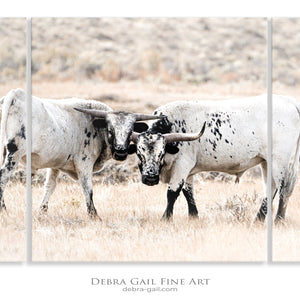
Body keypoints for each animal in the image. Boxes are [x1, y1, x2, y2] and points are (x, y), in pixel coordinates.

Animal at [0, 88, 159, 219]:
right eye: (110, 129)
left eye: (130, 130)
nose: (120, 151)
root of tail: (15, 95)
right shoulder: (84, 164)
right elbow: (87, 188)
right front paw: (94, 215)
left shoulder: (55, 165)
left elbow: (50, 186)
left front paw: (42, 211)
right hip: (14, 153)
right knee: (3, 176)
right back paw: (3, 209)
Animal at [130, 95, 300, 224]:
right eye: (139, 153)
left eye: (161, 153)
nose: (150, 178)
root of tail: (288, 101)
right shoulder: (188, 171)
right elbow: (188, 194)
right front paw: (194, 217)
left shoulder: (182, 166)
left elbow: (172, 193)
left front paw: (166, 219)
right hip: (266, 162)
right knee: (270, 189)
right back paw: (258, 220)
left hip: (280, 160)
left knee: (283, 188)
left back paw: (278, 220)